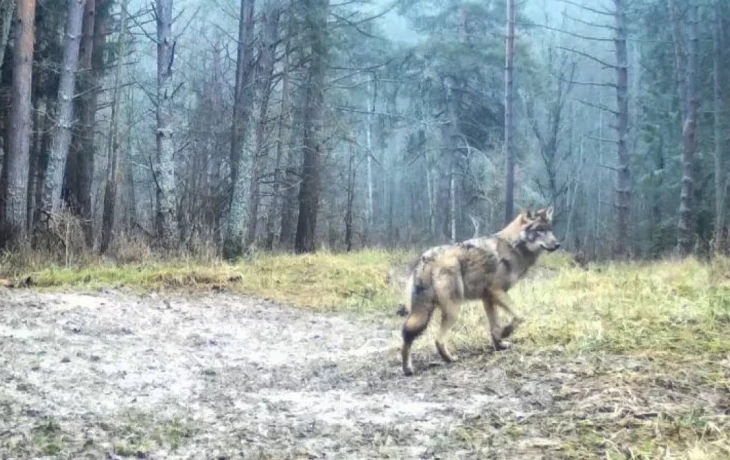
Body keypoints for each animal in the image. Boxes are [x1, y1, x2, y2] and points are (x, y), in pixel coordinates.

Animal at [399, 207, 560, 376]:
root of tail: (426, 258)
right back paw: (449, 359)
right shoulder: (497, 292)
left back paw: (408, 368)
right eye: (540, 230)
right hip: (453, 311)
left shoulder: (487, 297)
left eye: (550, 229)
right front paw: (505, 332)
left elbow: (494, 327)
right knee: (437, 339)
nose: (557, 244)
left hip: (423, 312)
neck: (513, 246)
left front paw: (499, 345)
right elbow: (519, 316)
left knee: (408, 335)